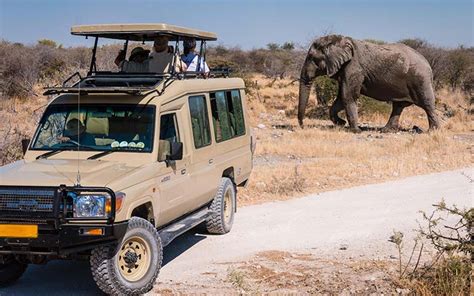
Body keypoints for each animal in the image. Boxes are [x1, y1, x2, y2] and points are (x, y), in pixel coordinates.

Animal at [298, 34, 438, 132]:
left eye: (312, 58)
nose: (302, 126)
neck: (340, 39)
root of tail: (428, 65)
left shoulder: (354, 67)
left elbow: (348, 96)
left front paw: (355, 131)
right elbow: (341, 97)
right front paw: (341, 123)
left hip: (420, 80)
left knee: (427, 104)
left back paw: (432, 131)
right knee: (398, 106)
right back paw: (386, 131)